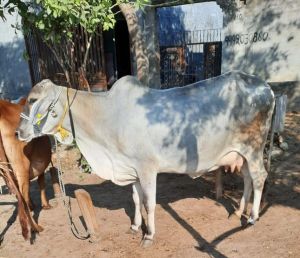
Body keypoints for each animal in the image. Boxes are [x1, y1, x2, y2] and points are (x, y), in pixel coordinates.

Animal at [16, 71, 274, 248]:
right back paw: (239, 212)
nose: (18, 132)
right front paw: (134, 226)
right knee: (248, 178)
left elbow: (149, 202)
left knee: (259, 176)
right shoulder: (131, 170)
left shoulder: (147, 168)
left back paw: (252, 217)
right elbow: (136, 199)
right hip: (242, 154)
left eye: (33, 100)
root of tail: (266, 87)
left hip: (253, 148)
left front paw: (148, 235)